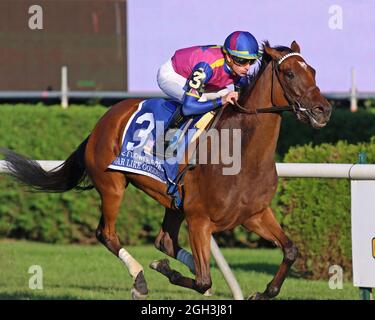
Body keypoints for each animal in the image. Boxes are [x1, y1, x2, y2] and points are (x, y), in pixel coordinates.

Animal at [2, 40, 332, 300]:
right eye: (290, 73)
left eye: (314, 71)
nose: (323, 110)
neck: (241, 154)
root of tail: (102, 121)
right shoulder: (199, 220)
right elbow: (203, 281)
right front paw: (167, 271)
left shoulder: (254, 214)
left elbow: (290, 250)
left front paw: (261, 292)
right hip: (113, 186)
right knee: (107, 234)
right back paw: (140, 279)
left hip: (173, 203)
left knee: (165, 241)